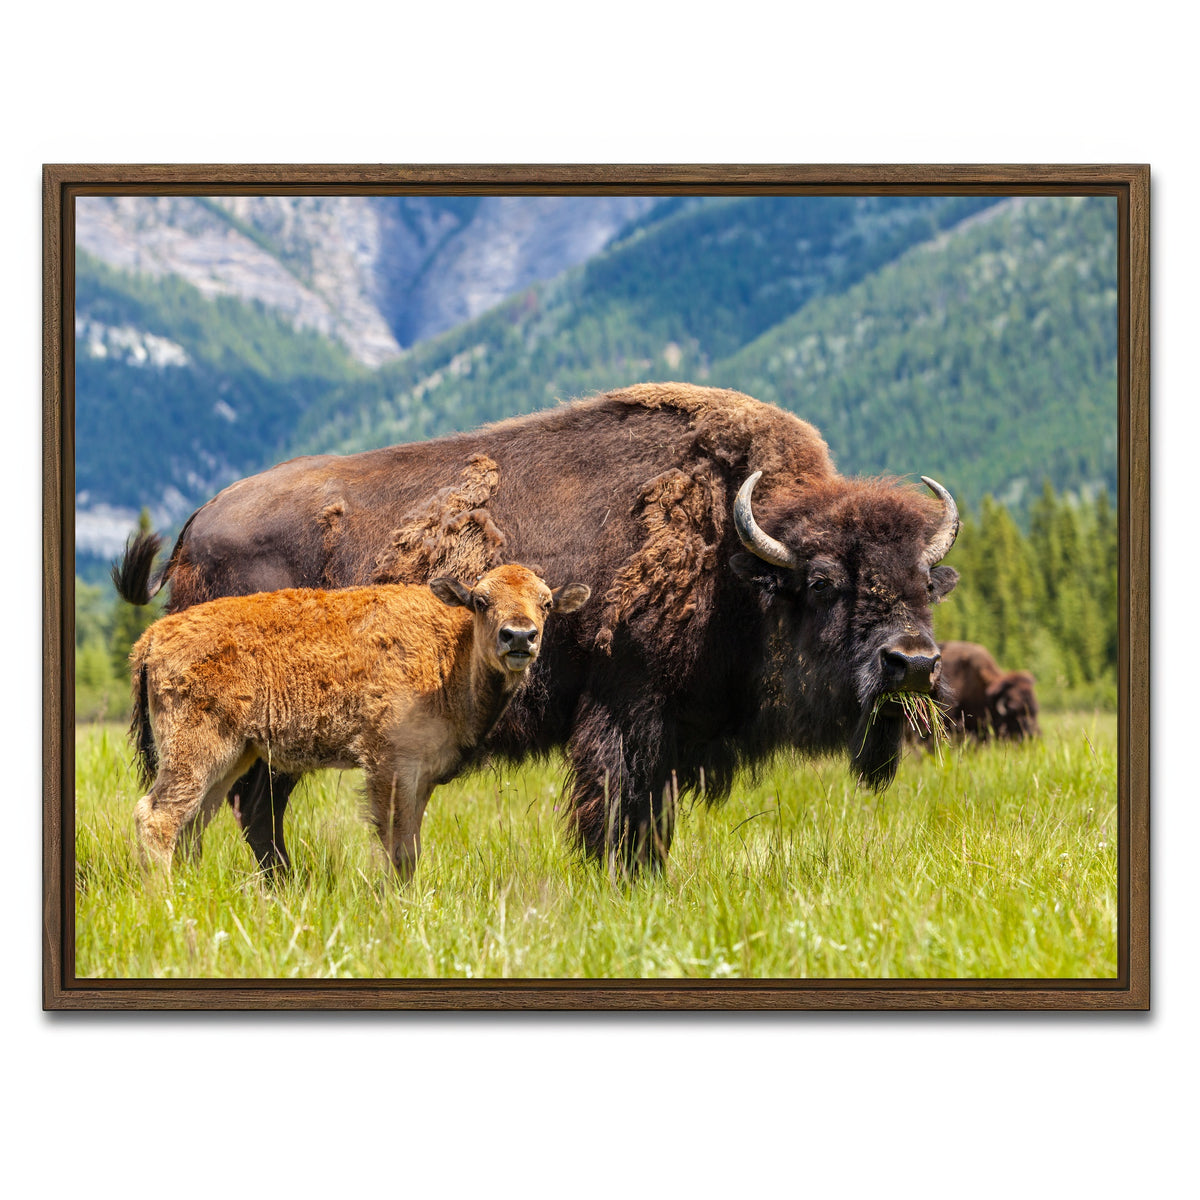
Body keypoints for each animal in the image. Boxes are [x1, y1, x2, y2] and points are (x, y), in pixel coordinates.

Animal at [129, 564, 590, 878]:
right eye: (481, 601)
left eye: (547, 603)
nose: (519, 636)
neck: (450, 652)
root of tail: (153, 636)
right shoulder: (390, 766)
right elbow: (397, 846)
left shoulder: (422, 775)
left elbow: (411, 844)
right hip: (196, 752)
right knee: (158, 817)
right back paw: (165, 898)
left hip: (232, 756)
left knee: (194, 822)